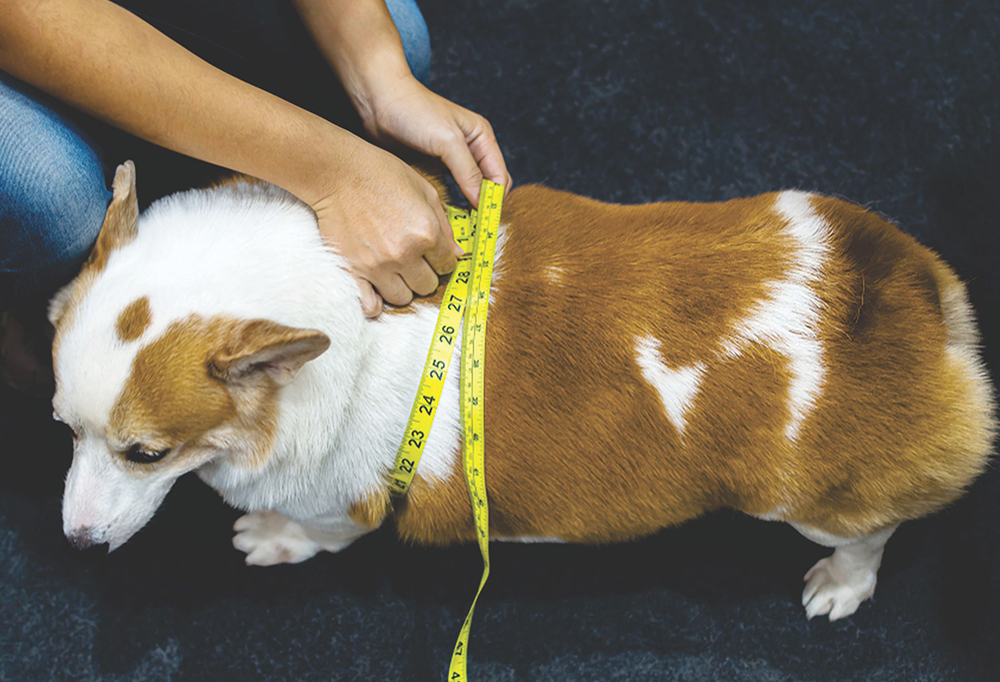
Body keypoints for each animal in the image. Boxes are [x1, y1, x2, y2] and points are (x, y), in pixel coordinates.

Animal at [48, 162, 992, 620]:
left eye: (146, 453)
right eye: (62, 428)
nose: (76, 545)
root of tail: (915, 291)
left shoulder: (342, 505)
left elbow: (317, 534)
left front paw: (271, 539)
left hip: (807, 504)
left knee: (875, 531)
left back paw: (841, 584)